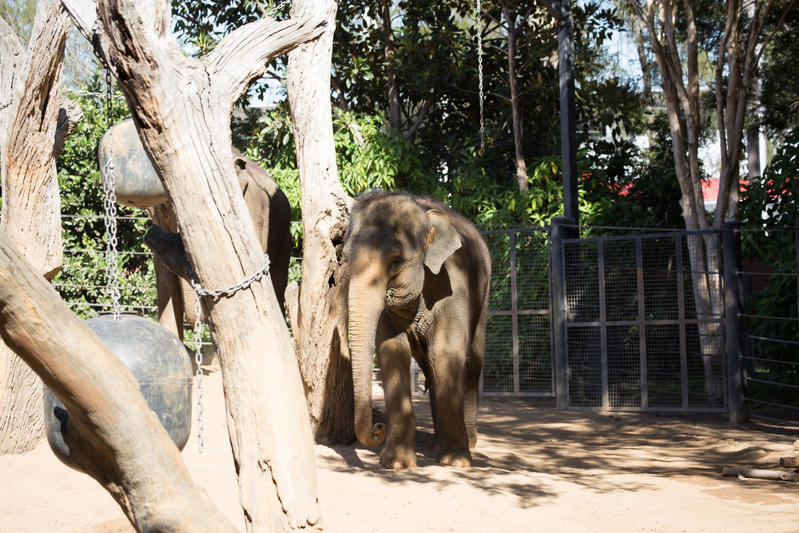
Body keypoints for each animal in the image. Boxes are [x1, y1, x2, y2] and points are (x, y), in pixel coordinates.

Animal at [346, 189, 490, 468]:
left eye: (396, 261)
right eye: (346, 258)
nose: (378, 428)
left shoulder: (453, 279)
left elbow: (445, 352)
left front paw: (455, 461)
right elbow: (392, 351)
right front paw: (396, 464)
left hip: (483, 291)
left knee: (470, 362)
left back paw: (468, 443)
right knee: (430, 369)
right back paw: (436, 444)